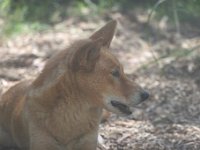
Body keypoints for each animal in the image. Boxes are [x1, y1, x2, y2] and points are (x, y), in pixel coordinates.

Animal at [0, 20, 148, 150]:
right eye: (115, 73)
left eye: (122, 71)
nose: (147, 94)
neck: (73, 112)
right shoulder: (42, 144)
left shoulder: (87, 143)